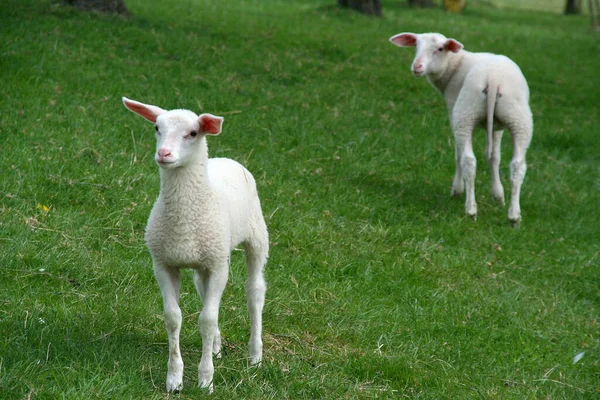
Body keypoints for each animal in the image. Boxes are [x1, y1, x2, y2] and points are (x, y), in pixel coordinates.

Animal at [122, 97, 268, 394]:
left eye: (192, 133)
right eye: (157, 127)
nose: (164, 153)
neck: (184, 220)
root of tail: (225, 159)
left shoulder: (217, 266)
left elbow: (207, 319)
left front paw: (205, 380)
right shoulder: (164, 263)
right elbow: (173, 317)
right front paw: (174, 379)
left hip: (256, 236)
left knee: (255, 291)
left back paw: (255, 357)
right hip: (206, 260)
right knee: (203, 290)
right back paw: (216, 348)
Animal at [390, 32, 536, 225]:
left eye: (440, 49)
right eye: (415, 46)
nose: (417, 66)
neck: (454, 66)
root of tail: (493, 79)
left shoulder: (452, 107)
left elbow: (458, 155)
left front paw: (457, 189)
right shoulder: (497, 126)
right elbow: (494, 157)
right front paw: (498, 195)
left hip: (465, 113)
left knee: (468, 160)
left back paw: (471, 210)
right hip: (518, 117)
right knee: (517, 165)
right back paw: (514, 216)